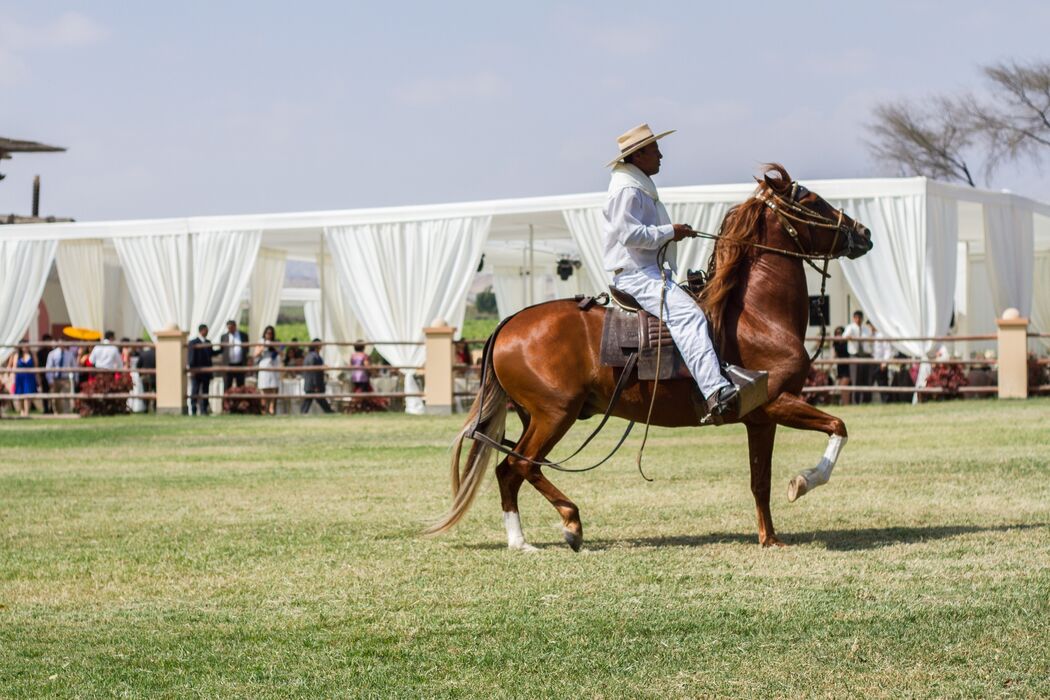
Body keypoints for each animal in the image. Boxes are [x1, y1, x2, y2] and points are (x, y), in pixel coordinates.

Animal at [422, 165, 873, 554]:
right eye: (811, 200)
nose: (863, 232)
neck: (756, 317)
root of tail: (509, 323)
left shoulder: (760, 418)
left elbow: (759, 481)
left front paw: (770, 538)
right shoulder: (776, 402)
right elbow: (839, 426)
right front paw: (804, 481)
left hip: (536, 416)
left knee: (510, 470)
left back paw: (522, 540)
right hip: (554, 415)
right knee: (521, 466)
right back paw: (569, 524)